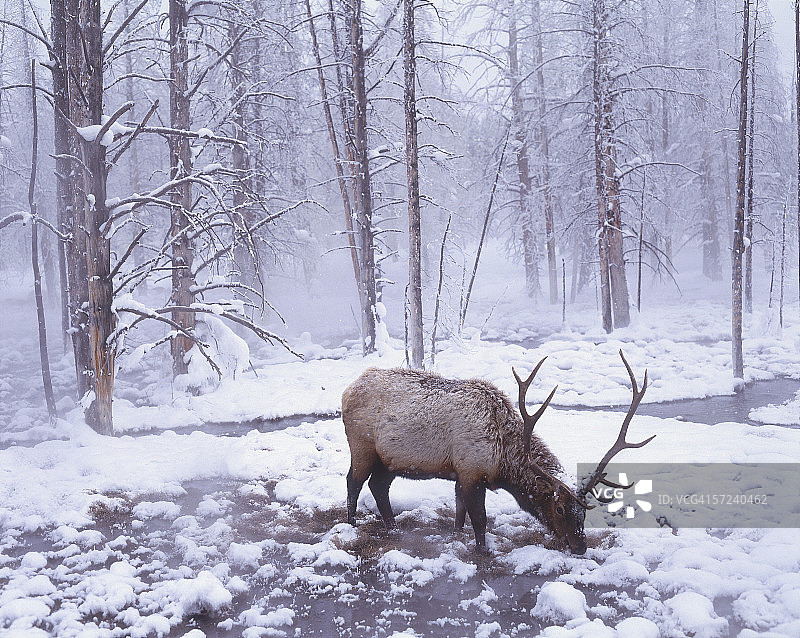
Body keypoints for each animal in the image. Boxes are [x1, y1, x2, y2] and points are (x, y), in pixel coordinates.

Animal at [341, 350, 654, 553]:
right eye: (559, 507)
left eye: (583, 512)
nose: (579, 546)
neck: (502, 462)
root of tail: (347, 391)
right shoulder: (471, 471)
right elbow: (479, 519)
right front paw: (482, 550)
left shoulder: (460, 473)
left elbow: (460, 514)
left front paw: (456, 536)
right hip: (362, 446)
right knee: (353, 481)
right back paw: (352, 523)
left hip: (389, 460)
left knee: (378, 486)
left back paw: (393, 527)